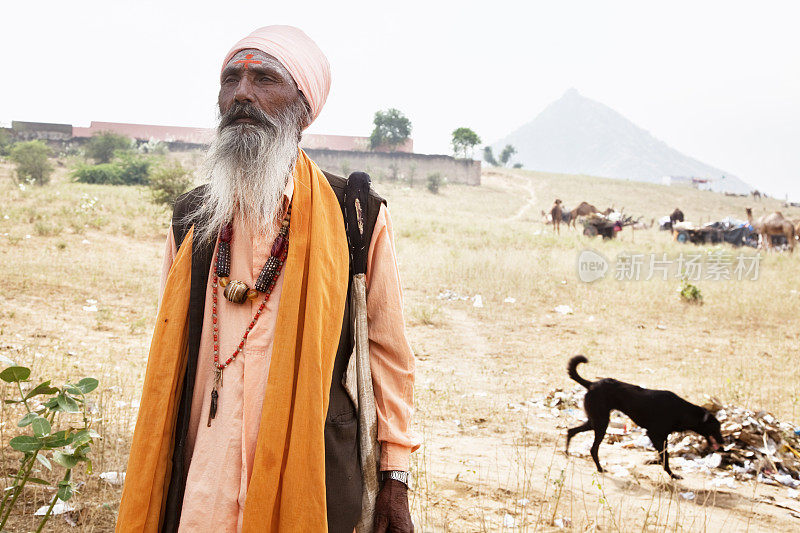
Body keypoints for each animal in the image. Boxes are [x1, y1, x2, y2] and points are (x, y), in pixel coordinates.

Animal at [564, 356, 724, 476]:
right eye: (716, 427)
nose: (723, 443)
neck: (682, 411)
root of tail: (592, 384)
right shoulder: (653, 434)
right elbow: (665, 457)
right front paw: (671, 474)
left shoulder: (663, 437)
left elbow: (663, 455)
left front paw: (658, 464)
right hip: (601, 423)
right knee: (593, 448)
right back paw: (599, 468)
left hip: (595, 421)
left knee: (571, 431)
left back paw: (566, 452)